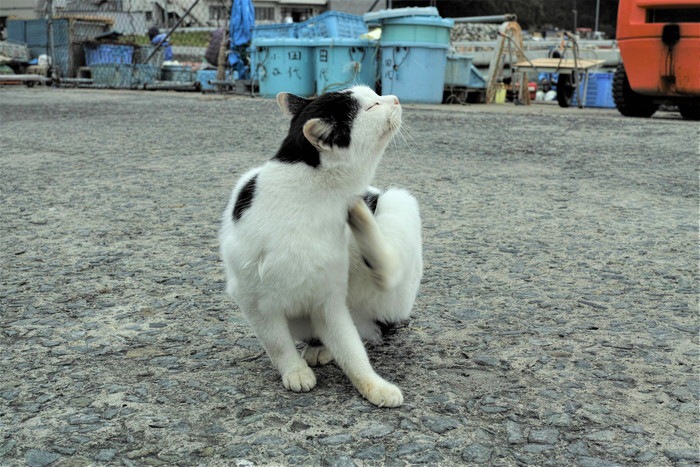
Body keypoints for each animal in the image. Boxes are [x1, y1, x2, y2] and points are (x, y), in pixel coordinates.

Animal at [221, 86, 424, 408]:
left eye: (375, 94)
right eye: (372, 105)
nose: (394, 99)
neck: (310, 194)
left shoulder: (329, 300)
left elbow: (352, 351)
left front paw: (374, 385)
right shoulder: (252, 298)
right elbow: (277, 342)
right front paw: (294, 370)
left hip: (398, 205)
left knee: (387, 275)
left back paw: (360, 213)